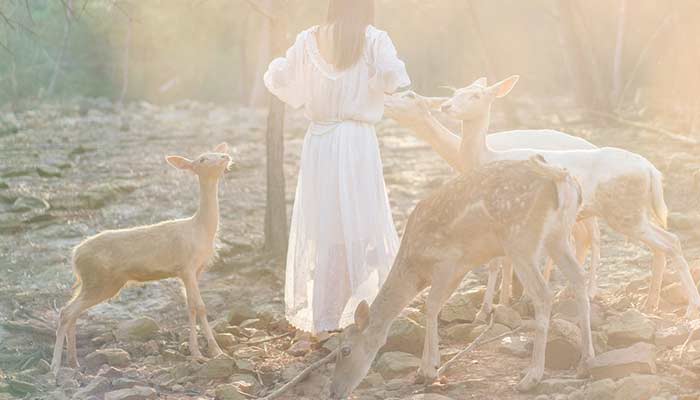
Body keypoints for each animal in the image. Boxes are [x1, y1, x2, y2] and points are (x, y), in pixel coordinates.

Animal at [52, 142, 232, 374]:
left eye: (217, 151)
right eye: (201, 159)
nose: (226, 157)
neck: (201, 231)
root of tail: (74, 256)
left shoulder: (194, 270)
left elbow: (190, 306)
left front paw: (197, 353)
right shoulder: (187, 266)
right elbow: (199, 306)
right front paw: (214, 352)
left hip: (95, 282)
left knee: (72, 312)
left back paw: (74, 362)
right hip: (101, 281)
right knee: (66, 311)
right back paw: (55, 368)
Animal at [330, 156, 592, 396]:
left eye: (345, 350)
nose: (334, 392)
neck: (415, 268)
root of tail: (563, 179)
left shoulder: (447, 261)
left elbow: (430, 305)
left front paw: (428, 370)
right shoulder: (460, 268)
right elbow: (435, 305)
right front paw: (426, 369)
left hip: (521, 240)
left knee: (544, 294)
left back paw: (531, 378)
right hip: (557, 237)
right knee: (579, 277)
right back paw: (585, 364)